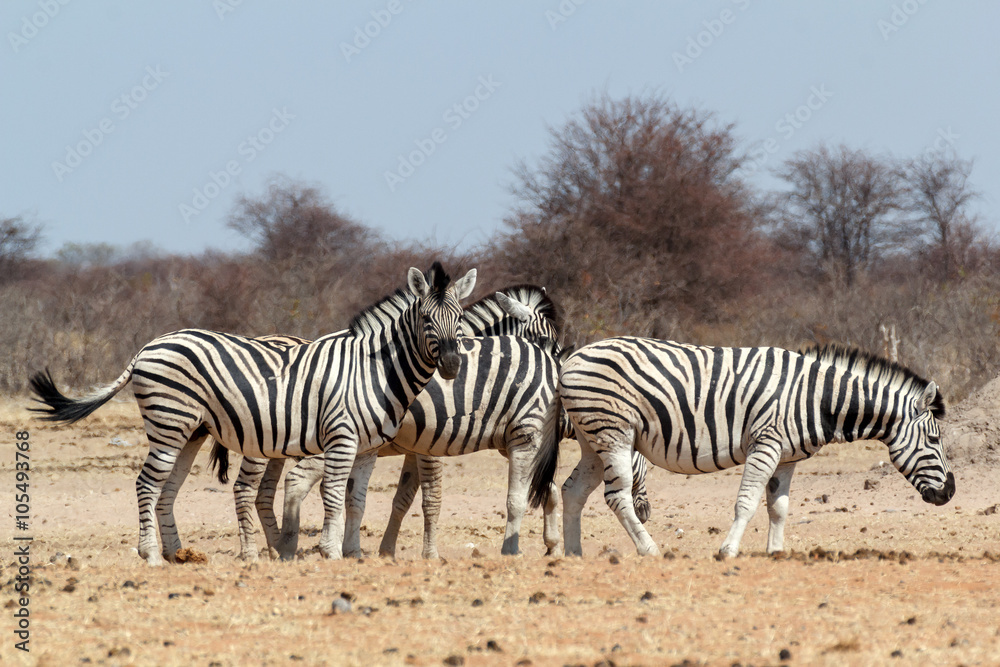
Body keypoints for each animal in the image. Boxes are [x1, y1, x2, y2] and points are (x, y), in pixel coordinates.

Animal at [29, 262, 476, 565]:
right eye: (425, 318)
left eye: (459, 319)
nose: (452, 365)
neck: (375, 370)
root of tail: (147, 347)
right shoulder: (341, 437)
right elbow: (333, 495)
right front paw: (330, 552)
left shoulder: (366, 447)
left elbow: (356, 499)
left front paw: (352, 554)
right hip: (169, 423)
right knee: (146, 484)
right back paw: (151, 555)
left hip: (191, 430)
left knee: (167, 488)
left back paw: (179, 554)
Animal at [529, 338, 955, 558]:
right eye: (935, 440)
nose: (950, 493)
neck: (817, 398)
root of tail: (570, 357)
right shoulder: (765, 444)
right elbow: (747, 502)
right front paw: (728, 550)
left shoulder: (787, 458)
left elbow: (779, 507)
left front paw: (775, 552)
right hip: (613, 432)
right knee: (617, 497)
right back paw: (649, 549)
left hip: (592, 439)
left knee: (573, 490)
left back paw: (573, 553)